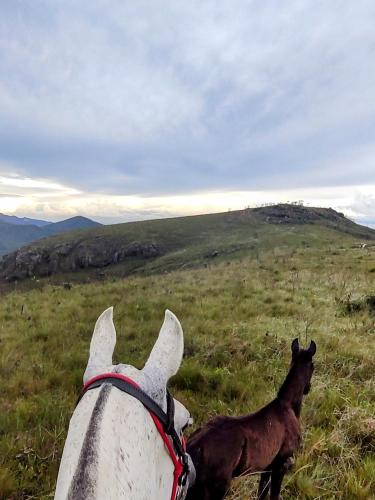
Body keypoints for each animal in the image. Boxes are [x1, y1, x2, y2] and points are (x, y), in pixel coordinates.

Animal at [187, 338, 316, 498]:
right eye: (313, 367)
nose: (308, 388)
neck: (287, 405)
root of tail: (193, 446)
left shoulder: (268, 467)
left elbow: (262, 492)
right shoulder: (281, 463)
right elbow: (274, 495)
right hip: (215, 489)